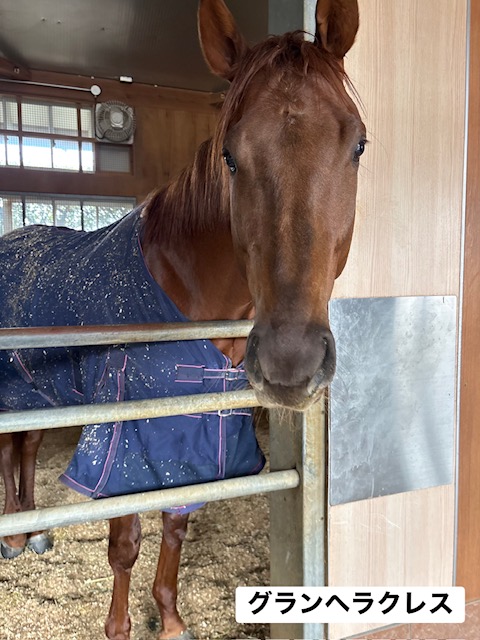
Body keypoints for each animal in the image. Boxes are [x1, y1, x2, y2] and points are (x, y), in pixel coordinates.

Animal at [0, 0, 365, 638]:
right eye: (230, 157)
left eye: (359, 146)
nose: (290, 363)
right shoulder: (125, 436)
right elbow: (126, 539)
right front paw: (119, 627)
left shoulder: (192, 435)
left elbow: (175, 524)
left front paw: (169, 618)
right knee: (6, 453)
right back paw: (14, 537)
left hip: (38, 392)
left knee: (25, 448)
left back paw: (33, 531)